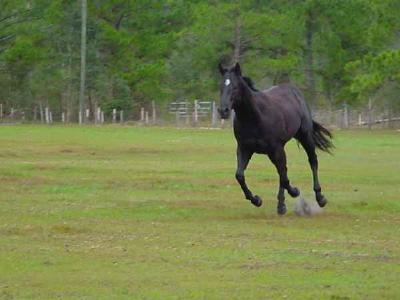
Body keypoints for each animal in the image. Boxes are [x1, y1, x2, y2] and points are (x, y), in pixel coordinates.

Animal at [217, 62, 332, 214]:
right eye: (221, 86)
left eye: (235, 87)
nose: (223, 111)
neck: (255, 116)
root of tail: (295, 92)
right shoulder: (244, 149)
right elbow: (240, 175)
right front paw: (256, 200)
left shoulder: (274, 149)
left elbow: (284, 176)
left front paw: (295, 192)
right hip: (279, 149)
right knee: (283, 171)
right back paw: (281, 205)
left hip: (304, 137)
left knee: (312, 161)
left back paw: (320, 198)